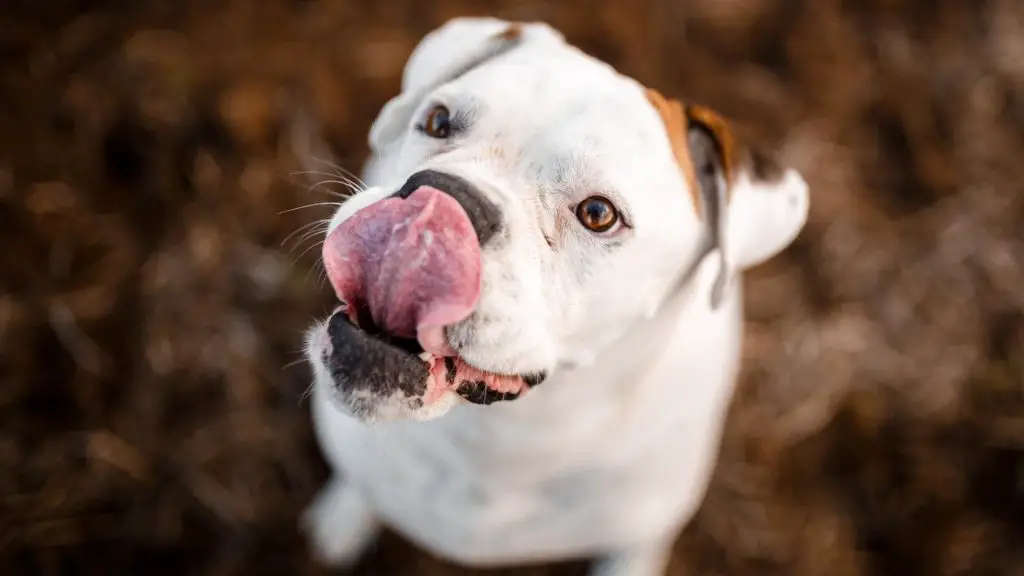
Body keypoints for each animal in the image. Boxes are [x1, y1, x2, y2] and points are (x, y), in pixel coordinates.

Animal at [299, 16, 811, 573]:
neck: (506, 440)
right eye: (438, 121)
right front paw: (344, 517)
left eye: (598, 214)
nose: (446, 196)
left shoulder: (642, 529)